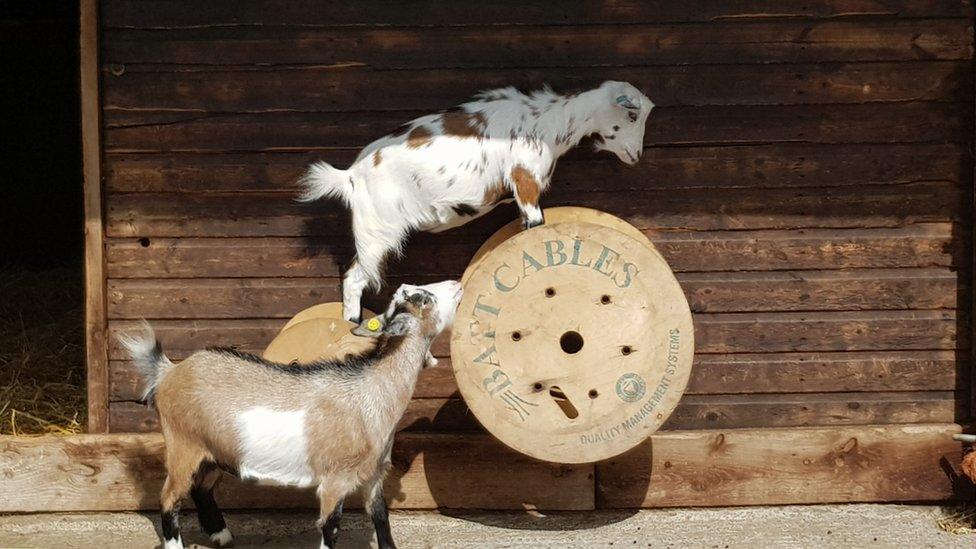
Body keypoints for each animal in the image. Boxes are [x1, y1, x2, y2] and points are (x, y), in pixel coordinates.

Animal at [122, 280, 466, 544]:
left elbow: (382, 520)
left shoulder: (374, 475)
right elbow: (331, 527)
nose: (456, 284)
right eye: (424, 298)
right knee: (169, 499)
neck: (369, 391)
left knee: (200, 488)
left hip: (213, 452)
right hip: (183, 446)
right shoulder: (335, 479)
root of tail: (169, 372)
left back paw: (221, 535)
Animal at [298, 79, 648, 324]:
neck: (550, 119)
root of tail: (351, 176)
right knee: (355, 279)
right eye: (632, 114)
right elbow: (535, 230)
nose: (637, 155)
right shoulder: (526, 185)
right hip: (378, 231)